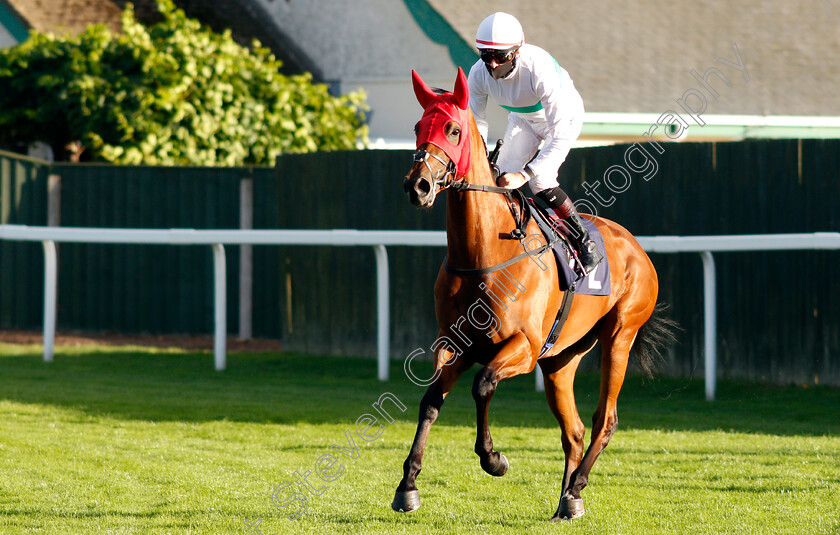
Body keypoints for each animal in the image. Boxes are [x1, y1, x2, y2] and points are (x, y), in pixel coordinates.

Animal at [392, 68, 676, 524]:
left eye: (453, 130)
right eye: (419, 127)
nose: (416, 185)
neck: (485, 252)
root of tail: (637, 248)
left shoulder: (521, 347)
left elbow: (483, 385)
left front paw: (494, 459)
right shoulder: (453, 343)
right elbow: (430, 400)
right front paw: (408, 486)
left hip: (620, 335)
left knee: (605, 419)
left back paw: (576, 486)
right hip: (561, 358)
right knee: (573, 430)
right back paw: (567, 500)